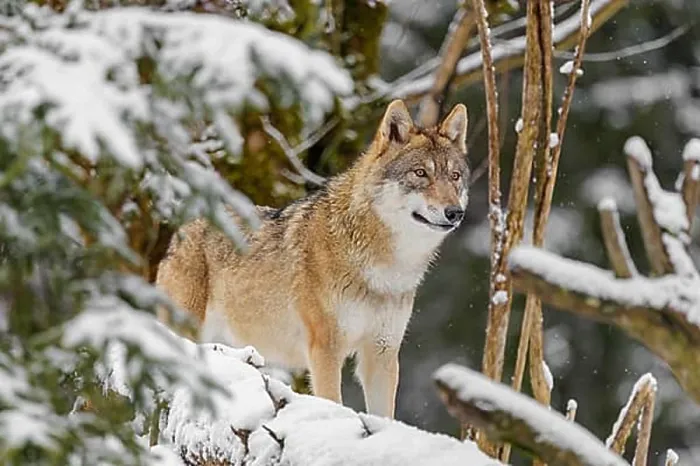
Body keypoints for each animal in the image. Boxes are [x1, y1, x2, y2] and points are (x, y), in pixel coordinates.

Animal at [156, 100, 469, 418]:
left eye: (455, 177)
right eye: (420, 173)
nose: (455, 213)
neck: (384, 269)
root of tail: (182, 228)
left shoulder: (382, 353)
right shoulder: (325, 348)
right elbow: (333, 403)